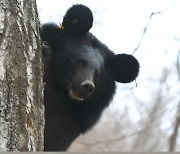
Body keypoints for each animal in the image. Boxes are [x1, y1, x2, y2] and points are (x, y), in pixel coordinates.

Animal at [40, 3, 139, 152]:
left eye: (98, 74)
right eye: (78, 61)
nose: (87, 86)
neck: (63, 96)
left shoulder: (72, 123)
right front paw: (46, 50)